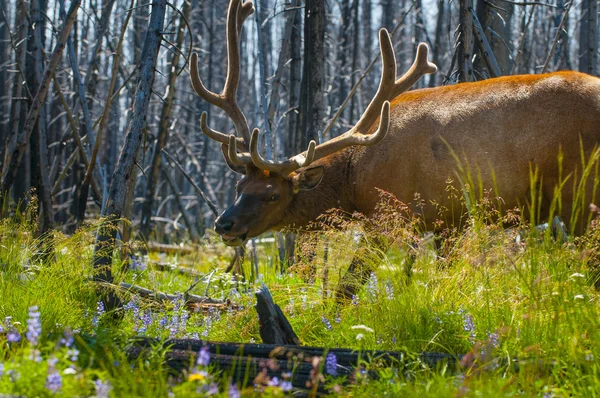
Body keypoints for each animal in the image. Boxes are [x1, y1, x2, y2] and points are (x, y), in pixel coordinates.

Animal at [190, 0, 600, 296]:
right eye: (239, 186)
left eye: (273, 194)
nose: (223, 223)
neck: (353, 179)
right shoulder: (447, 223)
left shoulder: (391, 217)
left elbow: (347, 286)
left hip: (581, 198)